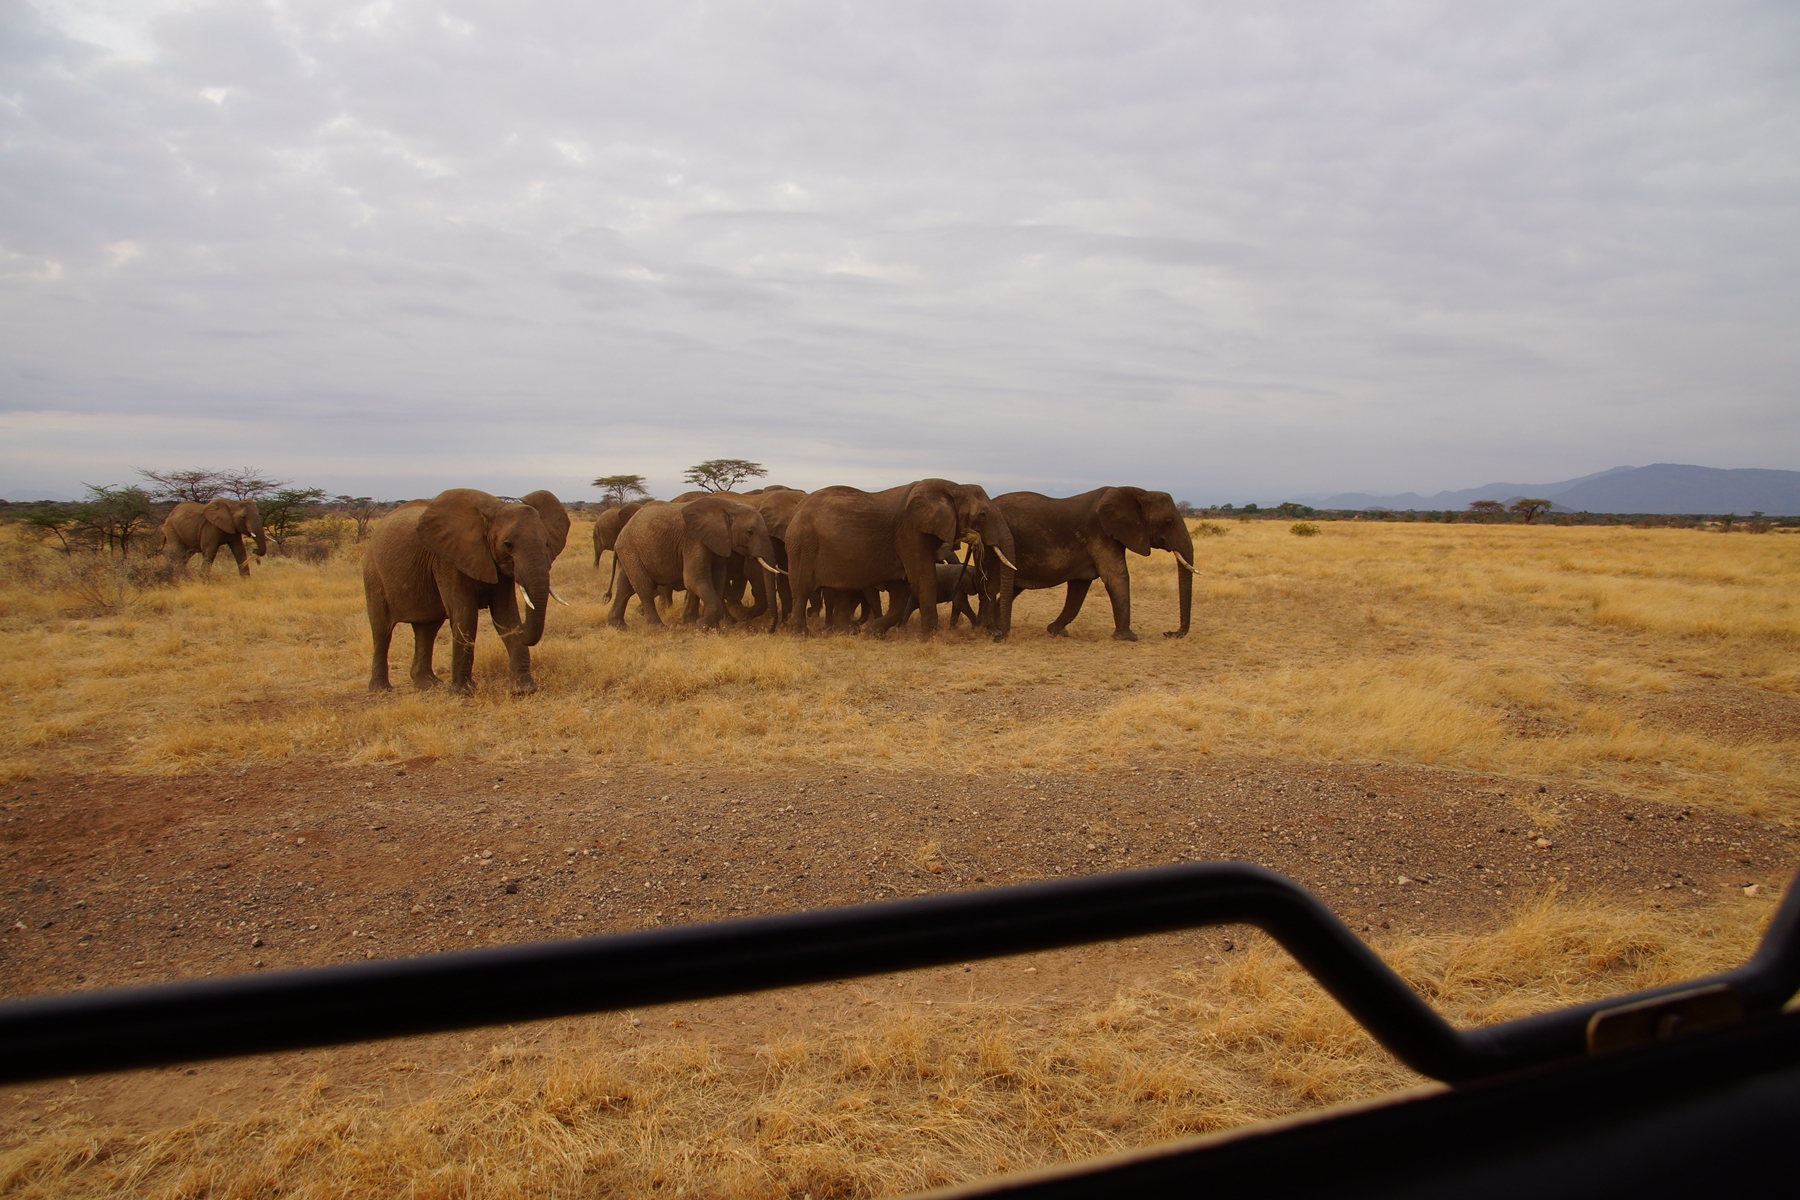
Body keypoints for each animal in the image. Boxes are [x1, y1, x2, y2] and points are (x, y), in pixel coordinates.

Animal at [361, 489, 565, 694]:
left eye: (546, 544)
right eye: (507, 544)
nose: (522, 630)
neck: (492, 512)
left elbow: (505, 614)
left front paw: (523, 689)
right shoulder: (448, 560)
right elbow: (465, 614)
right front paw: (464, 692)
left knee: (427, 629)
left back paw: (428, 684)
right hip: (373, 574)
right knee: (382, 630)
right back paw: (381, 689)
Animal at [604, 496, 781, 633]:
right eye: (749, 532)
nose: (768, 629)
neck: (728, 506)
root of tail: (622, 532)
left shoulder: (715, 541)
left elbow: (717, 578)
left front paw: (712, 628)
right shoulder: (693, 540)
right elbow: (694, 579)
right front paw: (701, 625)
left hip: (630, 552)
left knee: (625, 587)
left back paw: (618, 625)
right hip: (630, 549)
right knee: (644, 587)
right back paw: (659, 628)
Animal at [784, 478, 1022, 644]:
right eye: (982, 515)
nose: (998, 635)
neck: (953, 487)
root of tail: (796, 509)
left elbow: (902, 589)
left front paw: (874, 632)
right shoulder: (911, 531)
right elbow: (922, 578)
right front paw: (930, 637)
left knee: (841, 589)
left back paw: (849, 631)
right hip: (803, 545)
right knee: (801, 588)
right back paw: (801, 634)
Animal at [993, 482, 1188, 644]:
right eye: (1168, 522)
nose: (1169, 633)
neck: (1136, 492)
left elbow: (1080, 586)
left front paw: (1056, 631)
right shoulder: (1101, 533)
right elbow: (1116, 576)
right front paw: (1128, 638)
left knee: (1012, 588)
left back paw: (996, 627)